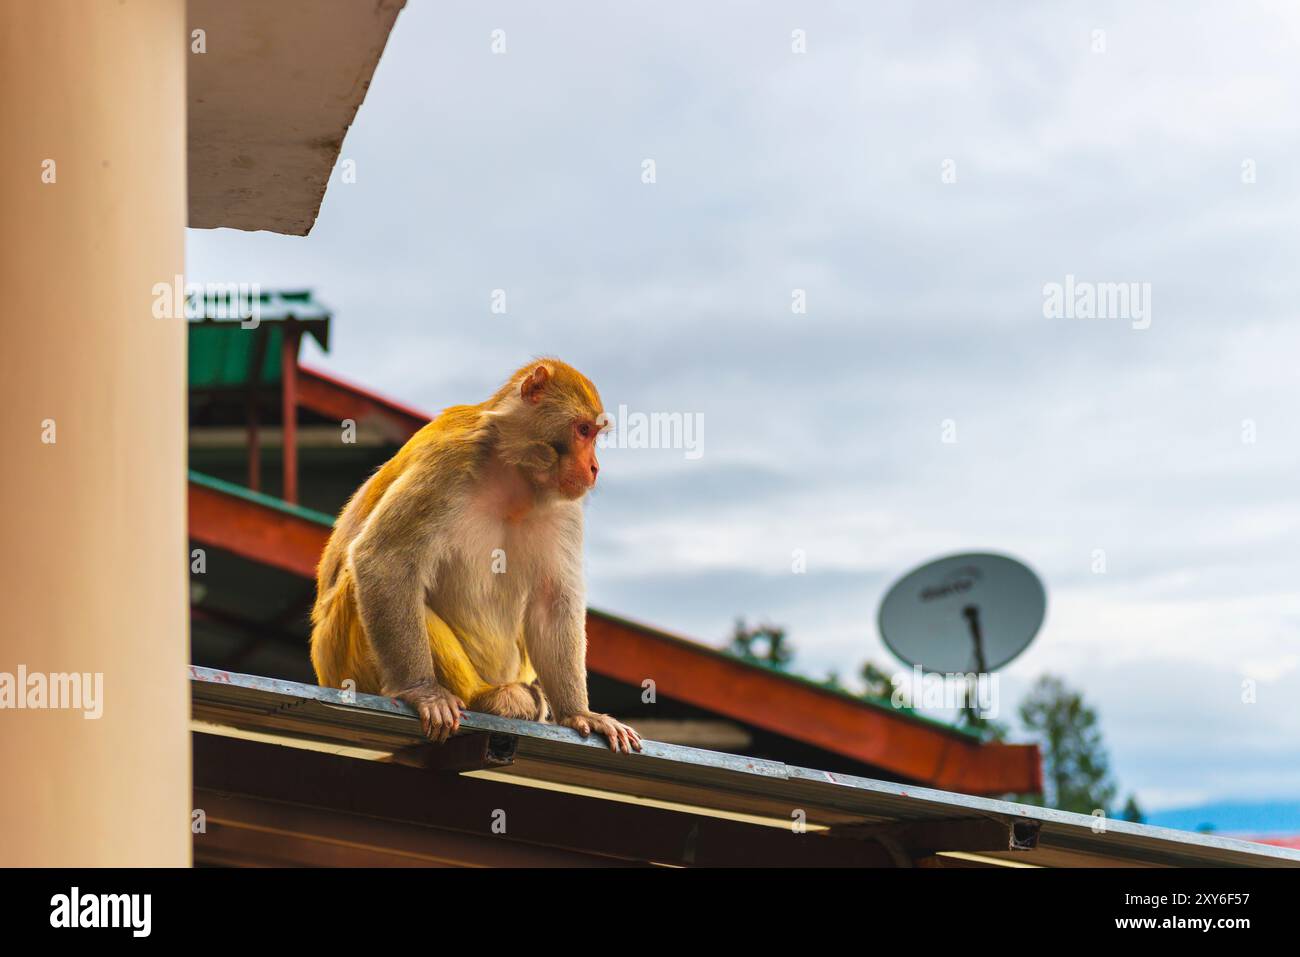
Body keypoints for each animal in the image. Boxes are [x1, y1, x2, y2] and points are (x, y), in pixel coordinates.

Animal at [309, 358, 641, 754]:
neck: (513, 471)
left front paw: (578, 713)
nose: (594, 468)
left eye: (593, 435)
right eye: (583, 430)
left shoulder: (565, 506)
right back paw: (488, 698)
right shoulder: (451, 459)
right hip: (343, 662)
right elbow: (384, 560)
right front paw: (421, 691)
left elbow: (551, 601)